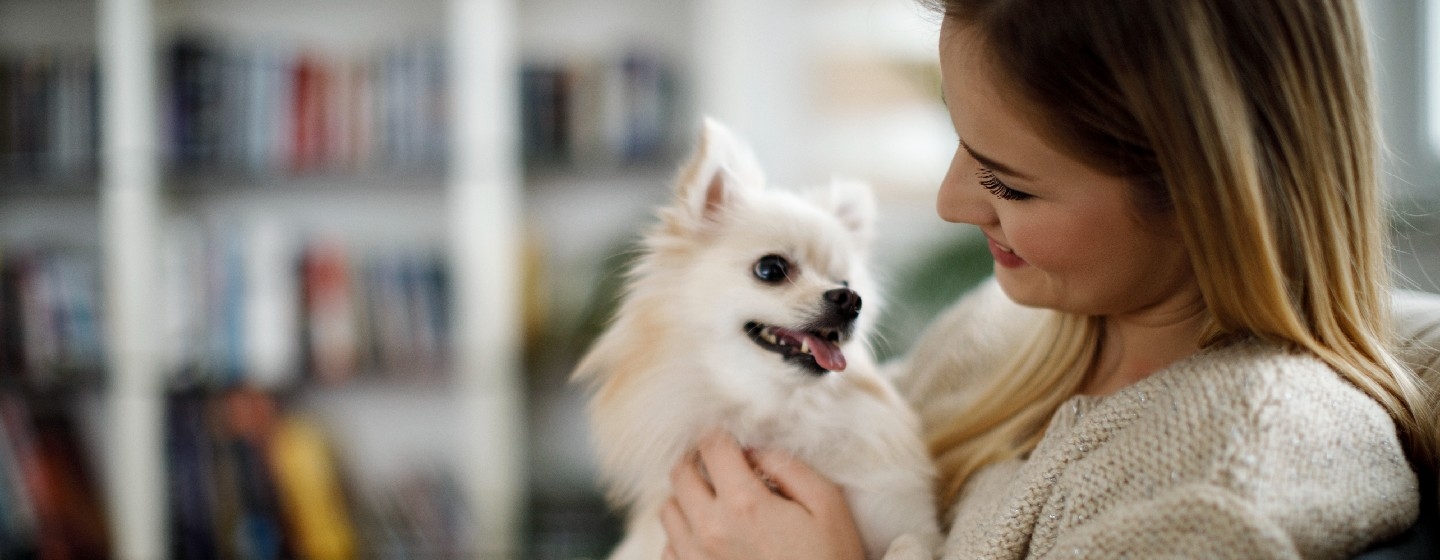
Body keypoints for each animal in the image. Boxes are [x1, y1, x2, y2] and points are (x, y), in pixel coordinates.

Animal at [567, 118, 938, 558]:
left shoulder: (902, 519)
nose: (851, 300)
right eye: (771, 269)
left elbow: (908, 542)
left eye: (846, 282)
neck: (772, 411)